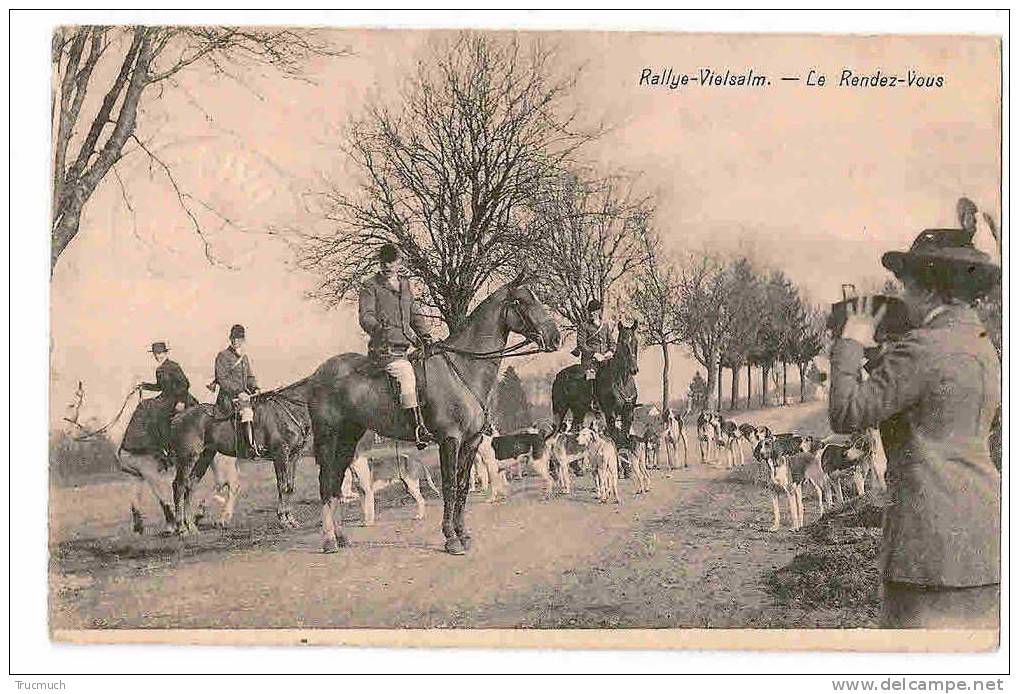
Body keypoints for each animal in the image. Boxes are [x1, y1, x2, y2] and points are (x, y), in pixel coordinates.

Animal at [169, 379, 315, 534]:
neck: (290, 409)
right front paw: (283, 520)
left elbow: (290, 487)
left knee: (190, 485)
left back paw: (192, 526)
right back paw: (182, 528)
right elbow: (282, 486)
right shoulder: (281, 455)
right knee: (179, 485)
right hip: (188, 457)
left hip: (204, 457)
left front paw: (291, 519)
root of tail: (177, 417)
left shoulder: (293, 457)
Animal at [305, 273, 562, 554]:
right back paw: (329, 540)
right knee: (326, 483)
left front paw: (463, 533)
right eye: (523, 301)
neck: (462, 368)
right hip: (328, 438)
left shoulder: (470, 442)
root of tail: (317, 374)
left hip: (348, 438)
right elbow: (449, 485)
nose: (555, 337)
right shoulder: (449, 441)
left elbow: (462, 485)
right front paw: (451, 538)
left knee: (334, 483)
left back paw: (341, 537)